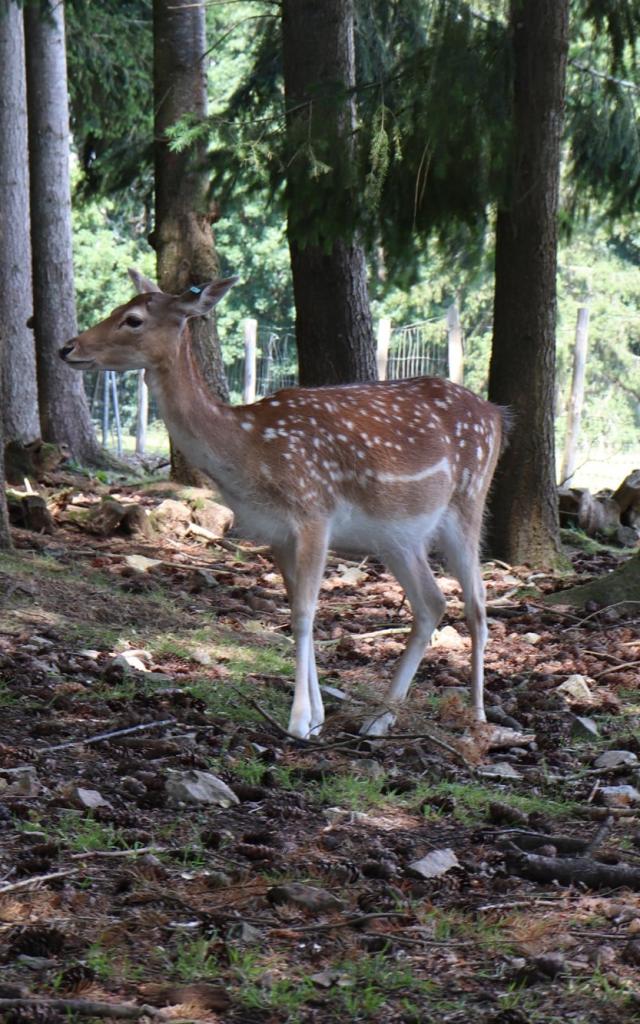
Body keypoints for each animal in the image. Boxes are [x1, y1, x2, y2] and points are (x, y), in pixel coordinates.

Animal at [60, 270, 508, 740]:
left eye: (133, 319)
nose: (67, 348)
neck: (248, 449)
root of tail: (497, 416)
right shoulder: (275, 531)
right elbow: (293, 610)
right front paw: (317, 719)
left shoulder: (314, 511)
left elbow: (305, 612)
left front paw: (298, 721)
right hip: (399, 536)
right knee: (431, 603)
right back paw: (379, 719)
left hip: (469, 501)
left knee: (477, 605)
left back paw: (477, 719)